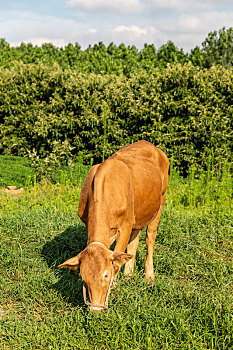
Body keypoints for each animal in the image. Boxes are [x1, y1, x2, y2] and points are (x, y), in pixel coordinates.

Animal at [57, 140, 167, 312]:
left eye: (106, 275)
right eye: (83, 277)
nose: (95, 310)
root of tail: (151, 145)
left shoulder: (125, 226)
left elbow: (117, 259)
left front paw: (113, 287)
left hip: (160, 202)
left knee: (150, 237)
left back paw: (149, 276)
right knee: (135, 240)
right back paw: (128, 274)